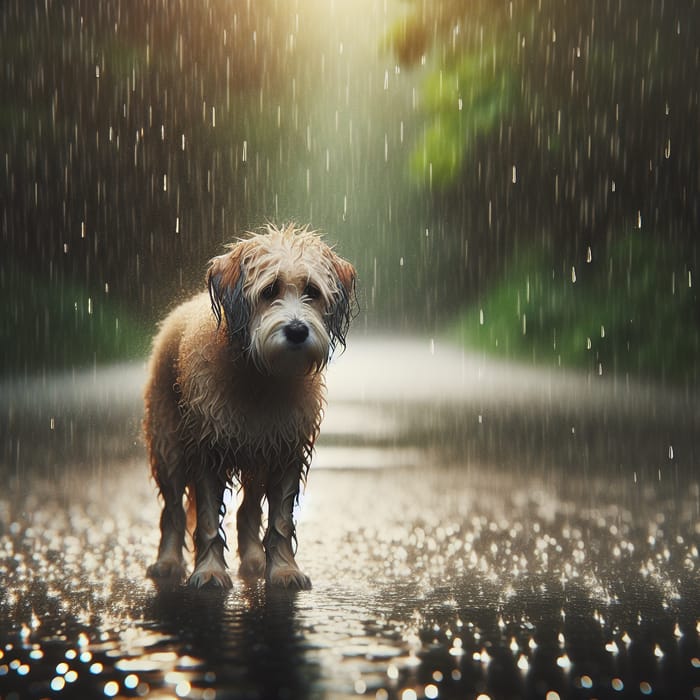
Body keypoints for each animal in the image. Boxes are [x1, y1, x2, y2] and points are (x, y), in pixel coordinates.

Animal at [146, 223, 358, 584]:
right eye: (269, 290)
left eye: (312, 291)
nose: (297, 331)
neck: (260, 377)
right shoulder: (207, 453)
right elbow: (206, 520)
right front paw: (209, 571)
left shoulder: (286, 452)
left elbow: (281, 521)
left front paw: (284, 569)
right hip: (168, 445)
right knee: (173, 509)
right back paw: (169, 562)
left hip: (258, 458)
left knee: (247, 511)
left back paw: (256, 560)